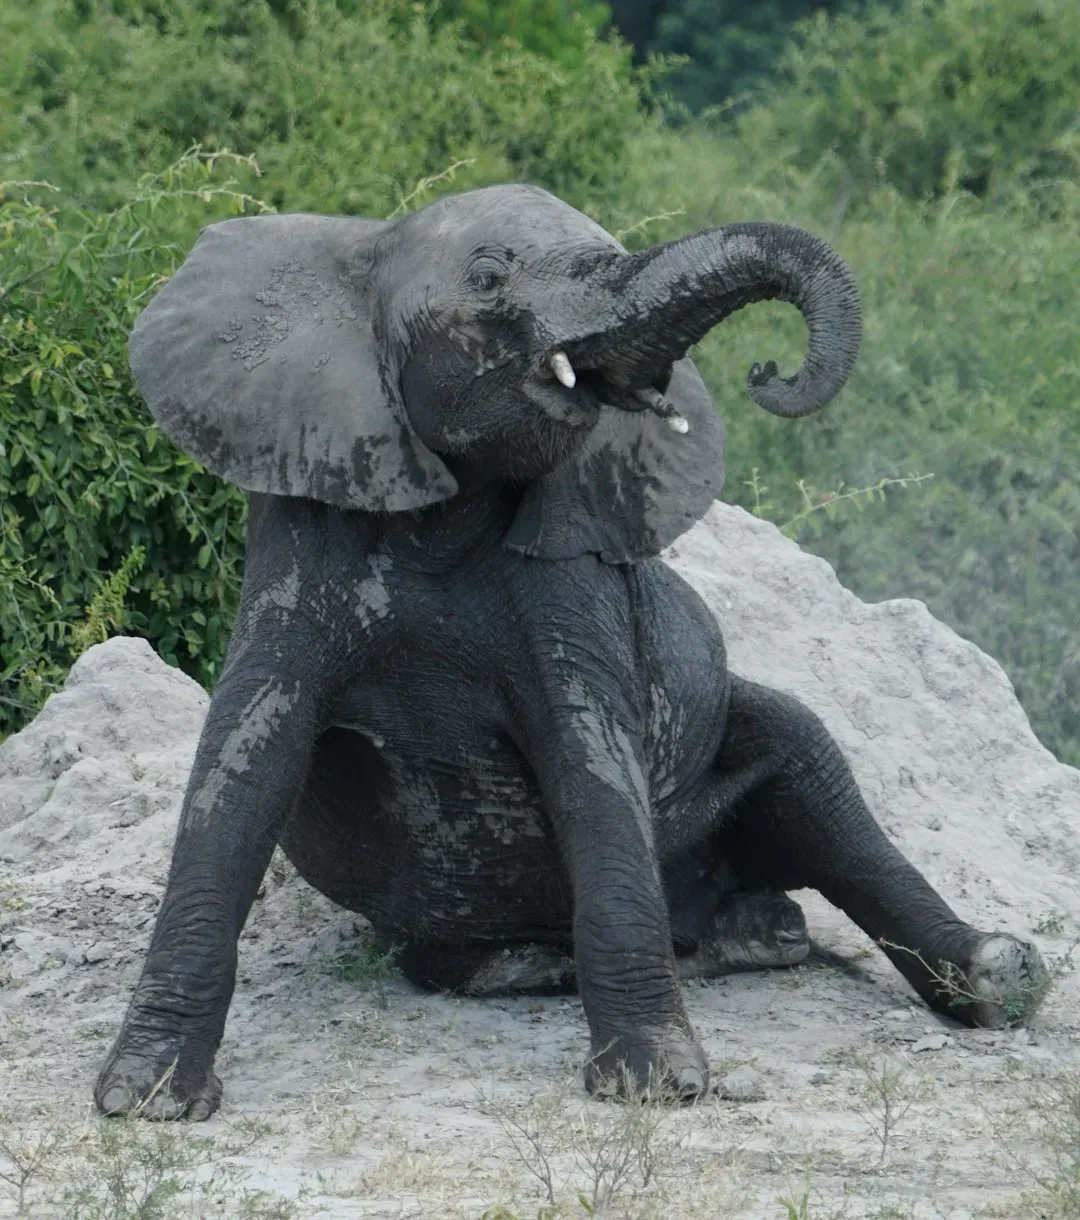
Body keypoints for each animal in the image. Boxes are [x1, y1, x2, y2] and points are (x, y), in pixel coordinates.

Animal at [95, 183, 1048, 1119]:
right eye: (488, 276)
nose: (766, 373)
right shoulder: (304, 516)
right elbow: (247, 755)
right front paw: (146, 1098)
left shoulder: (572, 558)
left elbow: (590, 757)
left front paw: (658, 1086)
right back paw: (585, 957)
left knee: (820, 780)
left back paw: (979, 973)